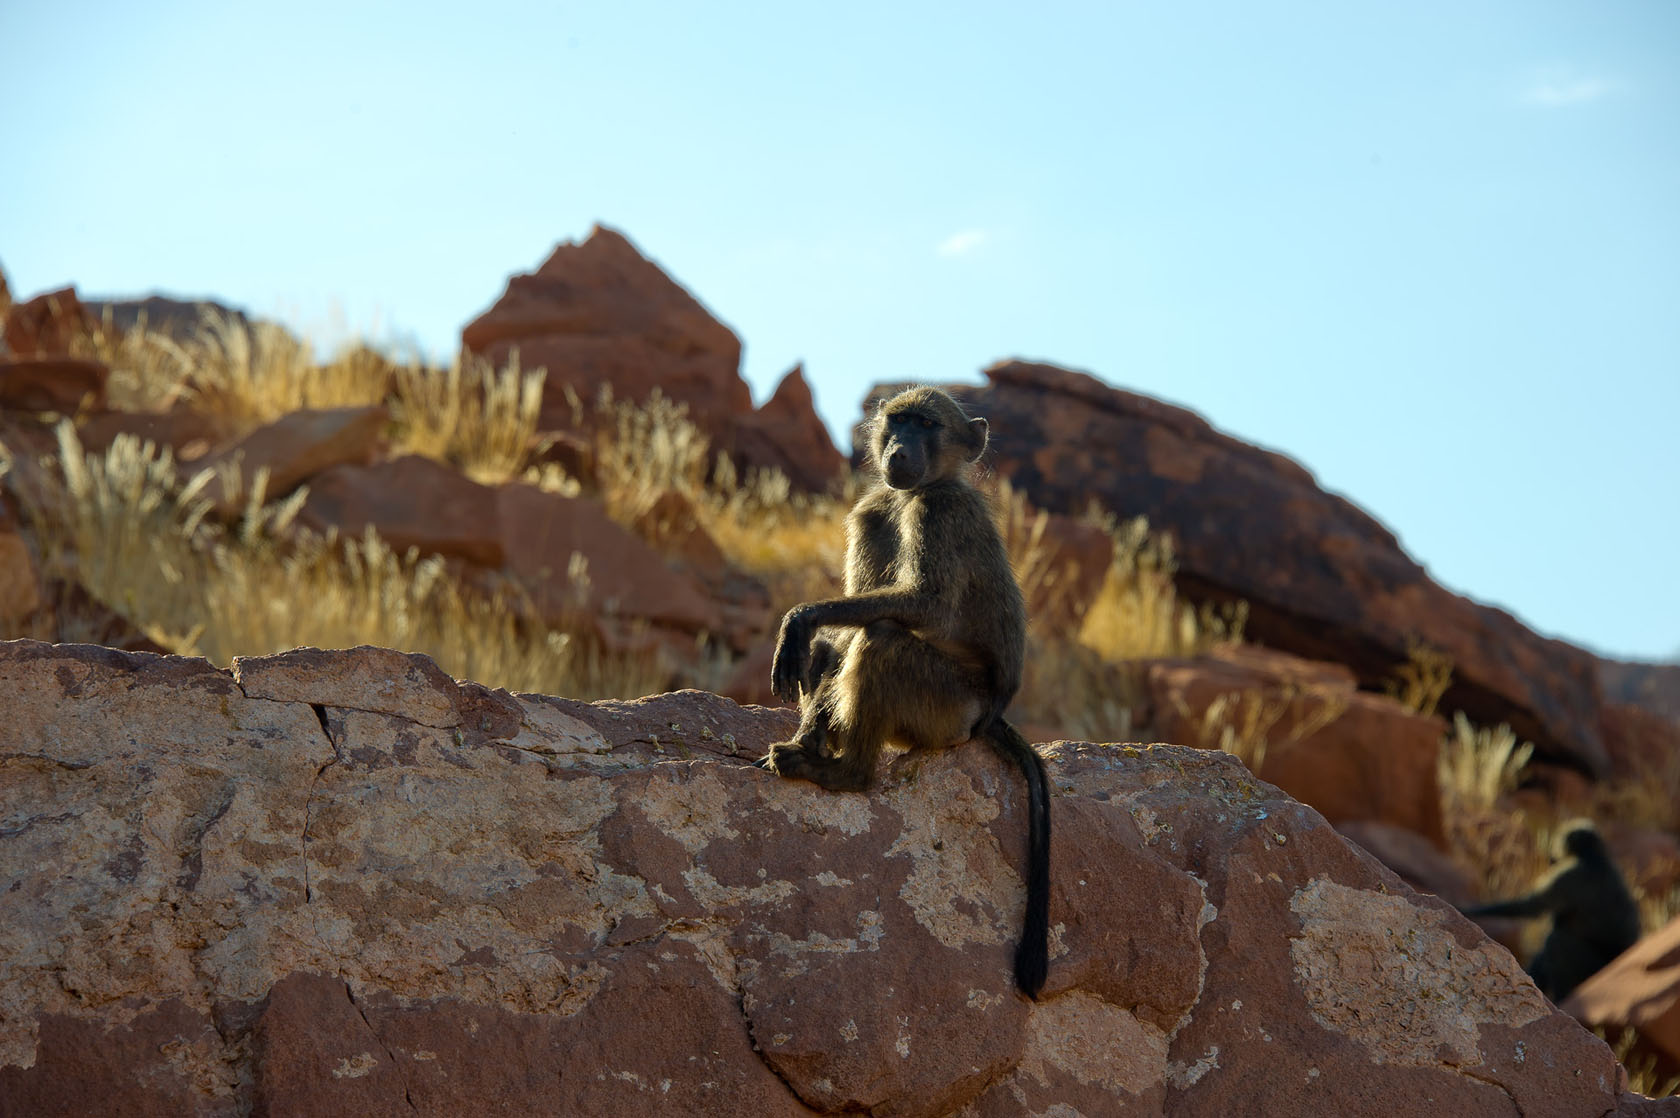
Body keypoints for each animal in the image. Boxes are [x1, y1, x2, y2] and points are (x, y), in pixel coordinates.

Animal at [759, 385, 1051, 999]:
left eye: (926, 425)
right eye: (897, 421)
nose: (898, 449)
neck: (915, 492)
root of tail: (989, 714)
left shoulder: (938, 512)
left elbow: (923, 605)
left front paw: (800, 619)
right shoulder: (871, 511)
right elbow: (843, 629)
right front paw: (809, 708)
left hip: (946, 711)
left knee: (882, 639)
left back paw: (845, 774)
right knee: (849, 644)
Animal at [1462, 820, 1641, 1002]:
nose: (1554, 849)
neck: (1593, 857)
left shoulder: (1567, 876)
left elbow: (1532, 907)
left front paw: (1469, 910)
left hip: (1593, 969)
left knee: (1556, 941)